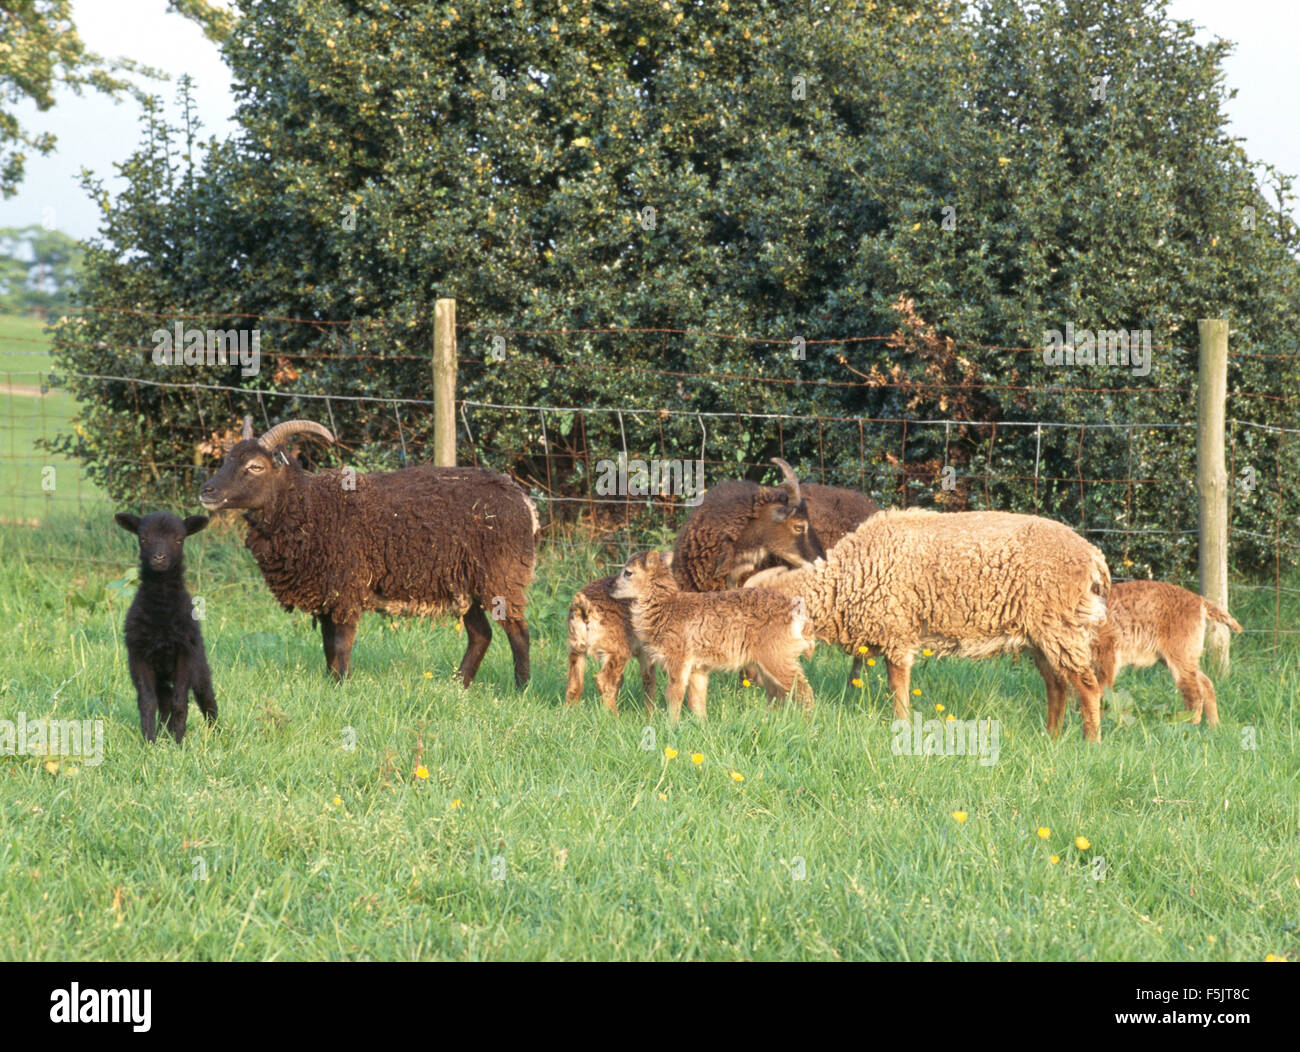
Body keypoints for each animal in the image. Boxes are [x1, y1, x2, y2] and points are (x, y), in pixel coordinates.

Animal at [193, 413, 538, 686]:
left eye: (255, 467)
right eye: (227, 460)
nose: (207, 491)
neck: (310, 506)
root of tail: (523, 500)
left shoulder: (346, 587)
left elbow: (342, 643)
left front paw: (342, 685)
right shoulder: (326, 594)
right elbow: (328, 644)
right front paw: (331, 682)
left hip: (502, 576)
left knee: (518, 632)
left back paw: (521, 688)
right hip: (464, 585)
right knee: (481, 634)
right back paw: (458, 685)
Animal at [564, 574, 655, 712]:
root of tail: (585, 609)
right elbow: (649, 680)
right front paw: (651, 714)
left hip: (577, 648)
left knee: (574, 684)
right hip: (618, 649)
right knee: (605, 681)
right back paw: (613, 715)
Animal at [608, 546, 811, 717]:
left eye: (628, 572)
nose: (611, 588)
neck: (666, 609)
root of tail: (796, 612)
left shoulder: (678, 659)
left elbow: (674, 695)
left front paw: (670, 726)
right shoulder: (698, 668)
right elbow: (697, 701)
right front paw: (700, 726)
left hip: (777, 655)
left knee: (803, 690)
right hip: (767, 662)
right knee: (777, 694)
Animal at [748, 507, 1112, 738]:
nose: (748, 678)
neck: (848, 577)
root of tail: (1093, 555)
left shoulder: (897, 630)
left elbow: (898, 687)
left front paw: (902, 727)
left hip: (1059, 625)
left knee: (1087, 685)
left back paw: (1090, 743)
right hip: (1040, 633)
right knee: (1058, 684)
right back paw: (1052, 737)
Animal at [1092, 579, 1242, 728]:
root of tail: (1199, 600)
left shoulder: (1106, 656)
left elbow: (1101, 694)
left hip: (1180, 653)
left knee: (1194, 693)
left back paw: (1188, 726)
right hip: (1180, 655)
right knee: (1206, 683)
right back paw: (1214, 725)